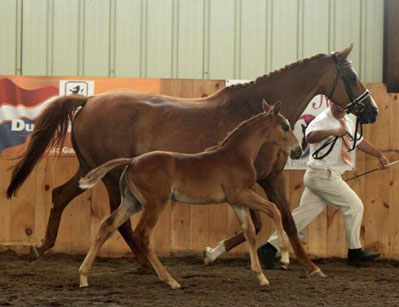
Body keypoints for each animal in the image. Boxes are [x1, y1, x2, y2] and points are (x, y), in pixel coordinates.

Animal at [79, 100, 304, 288]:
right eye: (285, 126)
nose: (298, 150)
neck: (238, 155)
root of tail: (131, 161)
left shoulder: (236, 201)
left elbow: (249, 231)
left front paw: (261, 276)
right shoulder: (240, 194)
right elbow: (274, 209)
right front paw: (284, 257)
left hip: (132, 203)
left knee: (107, 226)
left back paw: (83, 276)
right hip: (155, 203)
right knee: (142, 234)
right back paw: (170, 280)